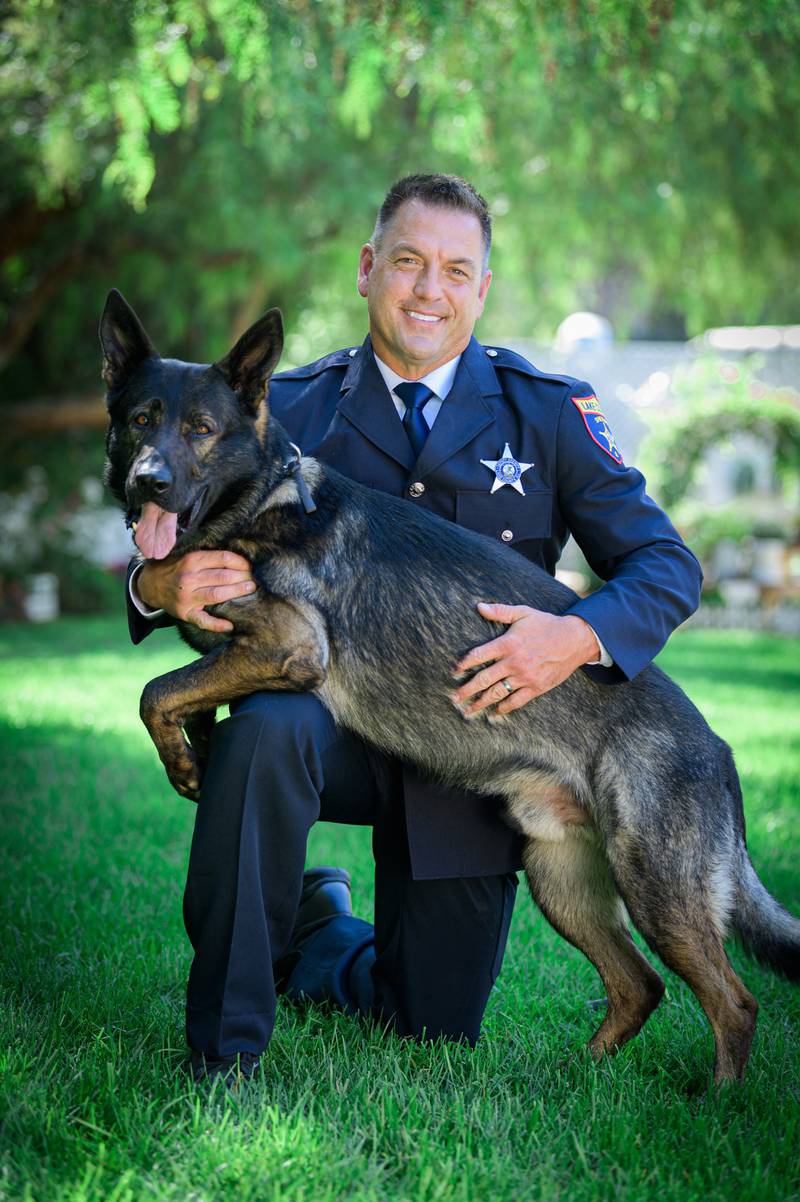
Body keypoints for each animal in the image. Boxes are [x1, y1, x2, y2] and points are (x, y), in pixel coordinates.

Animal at [102, 293, 792, 1091]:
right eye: (141, 419)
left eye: (201, 430)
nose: (148, 482)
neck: (259, 498)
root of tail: (719, 749)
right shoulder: (238, 650)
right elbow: (187, 695)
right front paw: (196, 757)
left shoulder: (287, 645)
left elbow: (156, 689)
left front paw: (184, 758)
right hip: (563, 882)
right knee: (638, 985)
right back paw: (574, 1078)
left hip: (654, 886)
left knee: (732, 1002)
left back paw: (715, 1100)